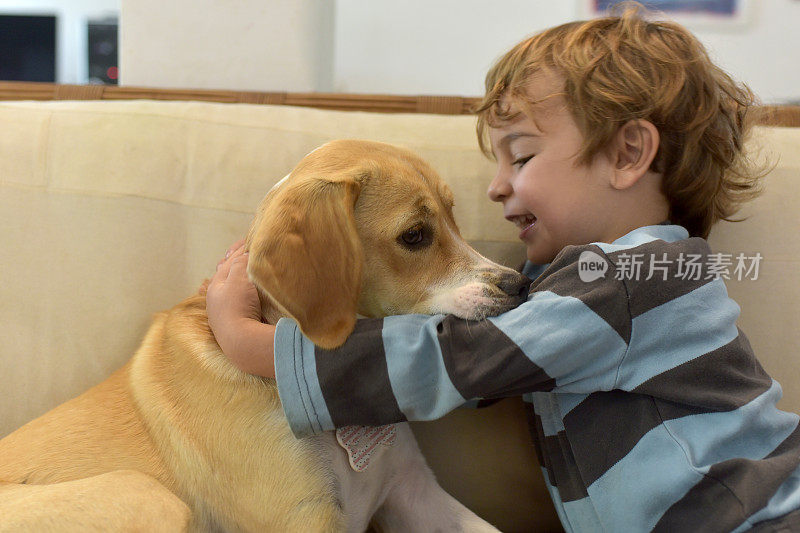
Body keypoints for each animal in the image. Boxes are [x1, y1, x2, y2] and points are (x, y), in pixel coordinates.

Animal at [0, 139, 532, 528]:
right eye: (415, 235)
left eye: (454, 217)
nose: (520, 285)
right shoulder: (305, 518)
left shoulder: (414, 493)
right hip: (149, 495)